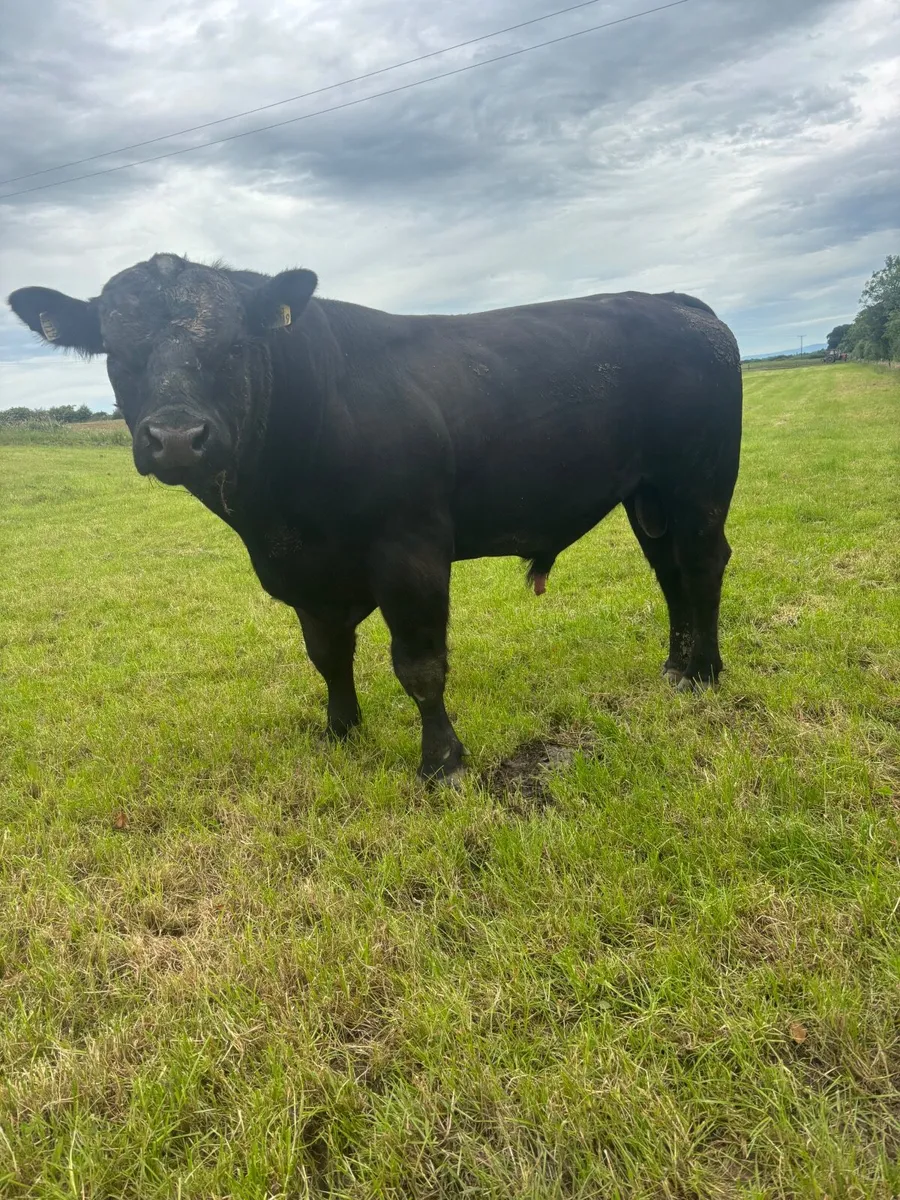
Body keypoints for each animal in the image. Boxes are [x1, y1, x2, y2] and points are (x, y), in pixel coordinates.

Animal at [8, 254, 742, 782]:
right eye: (117, 351)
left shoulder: (410, 548)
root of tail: (677, 303)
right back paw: (674, 666)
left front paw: (442, 764)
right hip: (647, 496)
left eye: (234, 345)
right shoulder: (300, 571)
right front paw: (340, 730)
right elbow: (327, 654)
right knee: (670, 574)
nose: (178, 437)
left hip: (699, 480)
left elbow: (419, 664)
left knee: (704, 564)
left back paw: (703, 671)